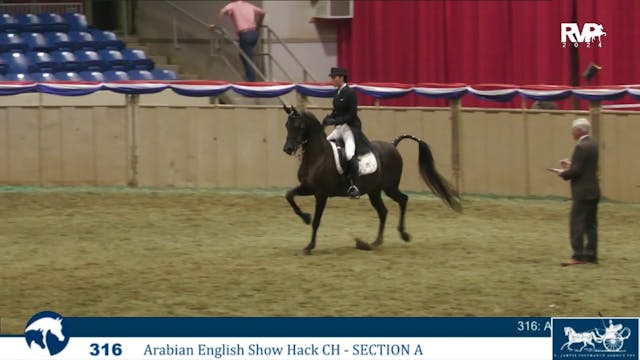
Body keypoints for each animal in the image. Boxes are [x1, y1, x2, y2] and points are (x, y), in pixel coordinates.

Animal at [282, 105, 460, 255]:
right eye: (287, 125)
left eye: (299, 126)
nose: (288, 149)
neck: (318, 156)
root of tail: (393, 145)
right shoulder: (308, 187)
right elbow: (289, 195)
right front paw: (305, 217)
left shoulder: (321, 194)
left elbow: (317, 221)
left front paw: (309, 246)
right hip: (374, 191)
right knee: (383, 211)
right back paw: (375, 242)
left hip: (390, 187)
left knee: (403, 200)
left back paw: (403, 234)